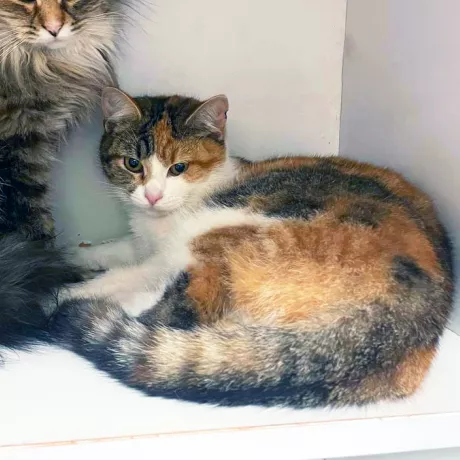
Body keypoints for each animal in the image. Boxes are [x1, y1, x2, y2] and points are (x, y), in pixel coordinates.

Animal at [51, 87, 454, 409]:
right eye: (133, 164)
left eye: (178, 168)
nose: (152, 195)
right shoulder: (144, 243)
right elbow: (115, 248)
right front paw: (70, 254)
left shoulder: (164, 255)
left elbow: (129, 274)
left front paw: (71, 284)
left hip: (224, 228)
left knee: (185, 308)